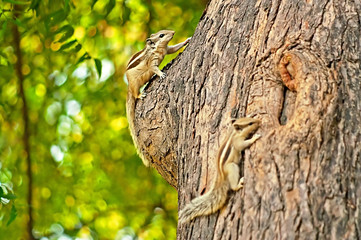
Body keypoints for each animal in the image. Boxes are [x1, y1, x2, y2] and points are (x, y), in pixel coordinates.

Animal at [124, 30, 190, 166]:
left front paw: (187, 40)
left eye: (163, 32)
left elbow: (175, 47)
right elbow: (154, 68)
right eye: (161, 35)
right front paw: (161, 74)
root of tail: (128, 87)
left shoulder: (167, 49)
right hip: (134, 84)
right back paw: (140, 94)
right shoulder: (151, 62)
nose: (173, 32)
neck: (158, 49)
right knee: (135, 94)